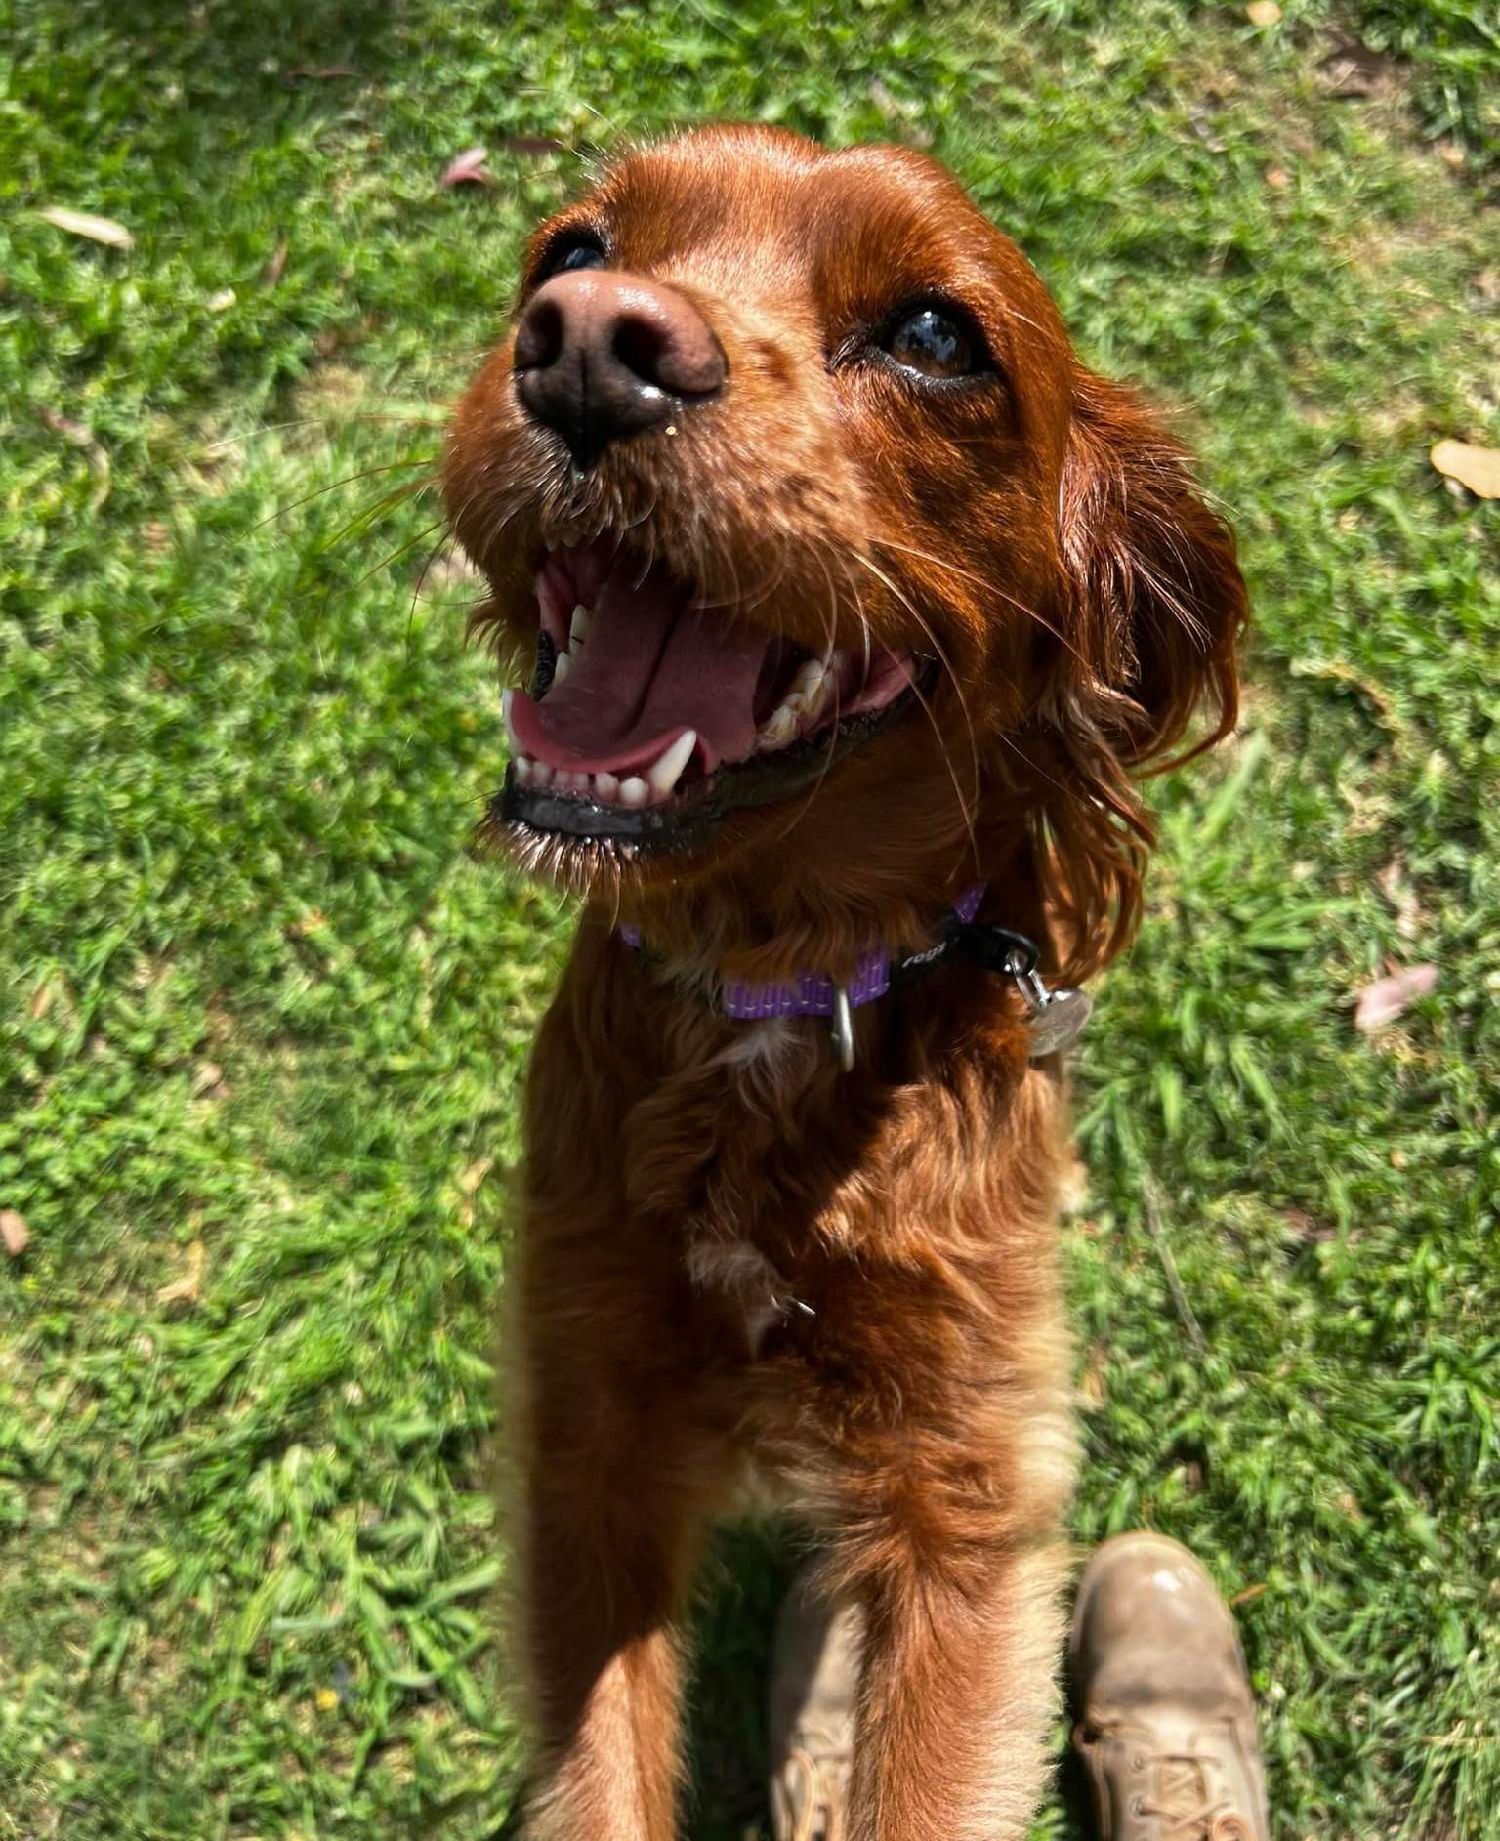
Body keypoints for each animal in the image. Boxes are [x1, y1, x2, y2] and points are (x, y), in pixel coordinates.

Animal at [443, 122, 1244, 1833]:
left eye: (937, 335)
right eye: (569, 249)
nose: (588, 343)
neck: (783, 999)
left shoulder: (967, 1494)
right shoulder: (583, 1421)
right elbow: (600, 1772)